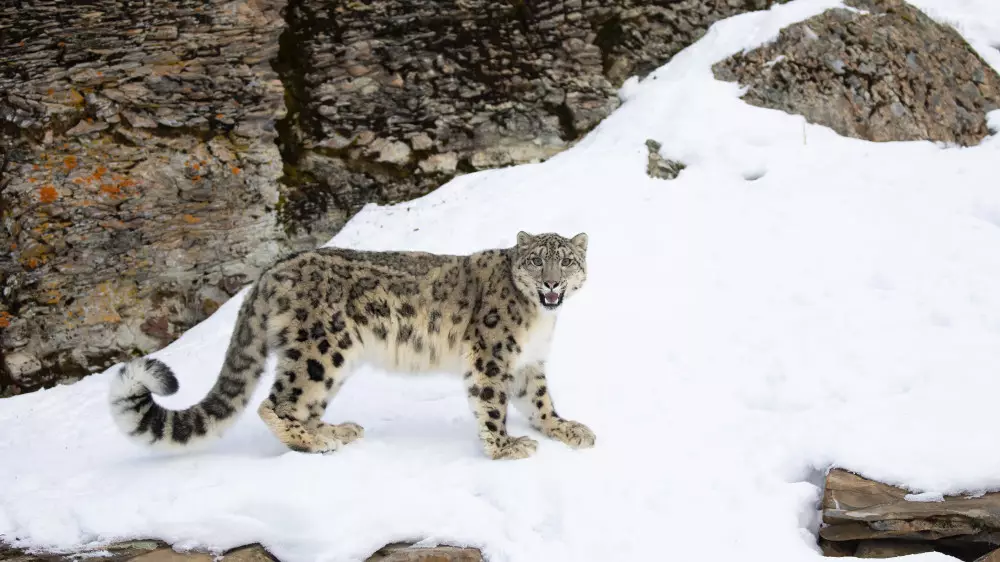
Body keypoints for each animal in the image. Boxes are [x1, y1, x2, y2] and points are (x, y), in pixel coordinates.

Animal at [109, 230, 592, 458]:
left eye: (567, 261)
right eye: (537, 260)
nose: (551, 283)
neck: (540, 320)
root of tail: (270, 272)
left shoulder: (527, 363)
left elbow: (540, 401)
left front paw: (568, 429)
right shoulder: (492, 354)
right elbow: (491, 403)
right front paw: (505, 448)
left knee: (303, 404)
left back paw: (332, 431)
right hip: (321, 349)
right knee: (275, 403)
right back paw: (314, 442)